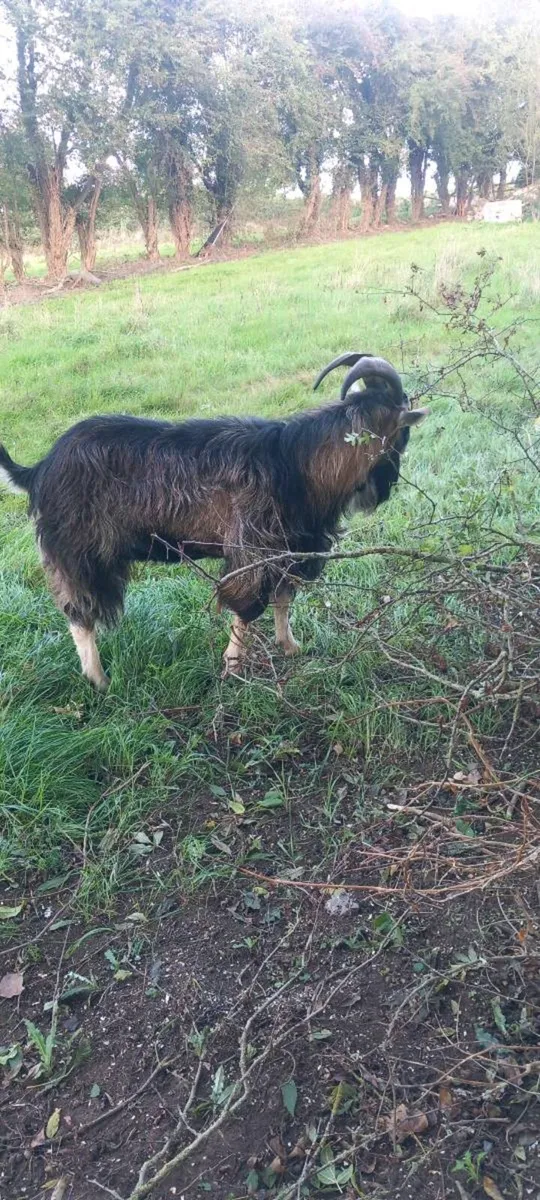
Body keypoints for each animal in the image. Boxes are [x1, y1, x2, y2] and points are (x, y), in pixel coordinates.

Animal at [0, 354, 427, 688]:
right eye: (402, 432)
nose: (387, 486)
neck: (296, 461)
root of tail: (38, 470)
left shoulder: (294, 548)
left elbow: (283, 600)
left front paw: (290, 648)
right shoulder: (253, 547)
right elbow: (246, 608)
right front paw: (233, 667)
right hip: (79, 551)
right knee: (78, 612)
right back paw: (99, 680)